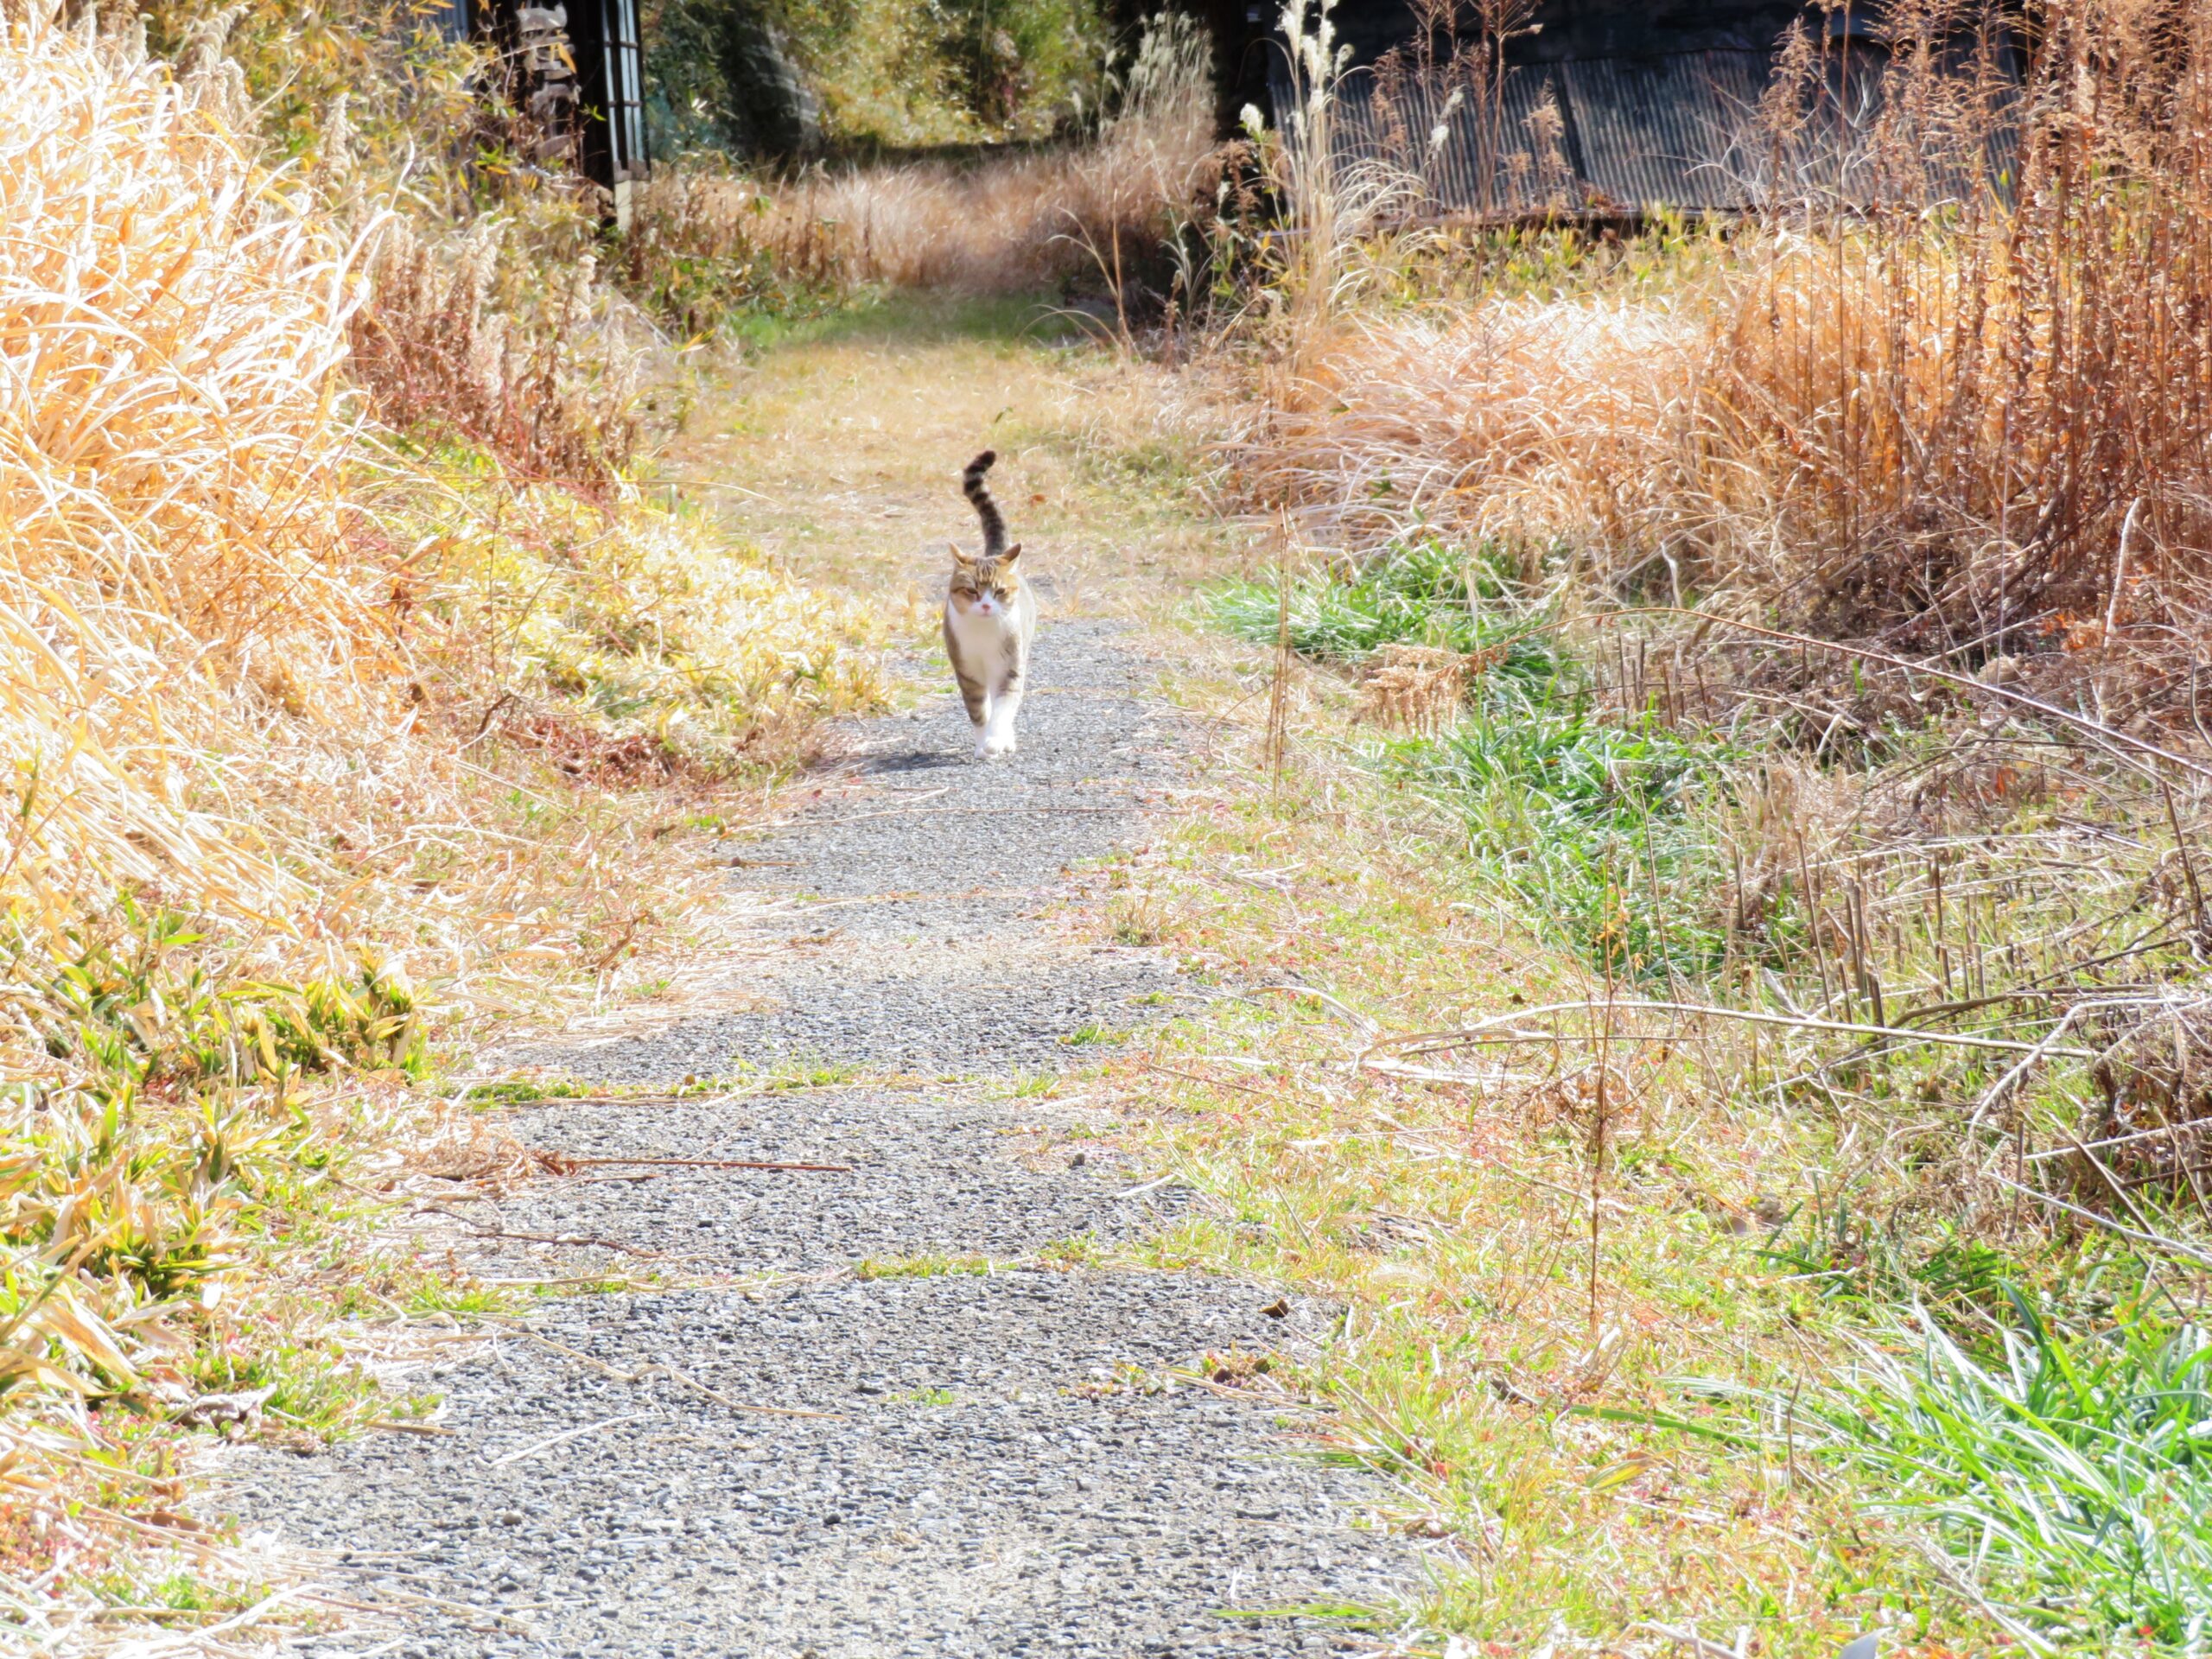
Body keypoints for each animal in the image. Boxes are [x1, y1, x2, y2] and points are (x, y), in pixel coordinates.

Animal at [938, 448, 1030, 760]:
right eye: (972, 591)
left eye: (999, 592)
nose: (987, 606)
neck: (984, 634)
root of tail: (992, 552)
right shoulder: (967, 671)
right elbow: (978, 710)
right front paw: (982, 745)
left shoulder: (1011, 667)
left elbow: (1003, 709)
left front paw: (995, 740)